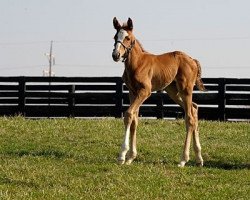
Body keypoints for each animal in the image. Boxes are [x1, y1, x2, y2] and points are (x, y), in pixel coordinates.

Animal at [112, 17, 205, 167]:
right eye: (115, 37)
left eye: (128, 38)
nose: (116, 54)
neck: (137, 63)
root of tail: (193, 60)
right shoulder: (132, 92)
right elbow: (134, 119)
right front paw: (131, 157)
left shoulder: (145, 91)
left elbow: (128, 114)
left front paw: (122, 156)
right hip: (173, 91)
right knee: (194, 108)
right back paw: (198, 158)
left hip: (185, 89)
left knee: (190, 118)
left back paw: (183, 159)